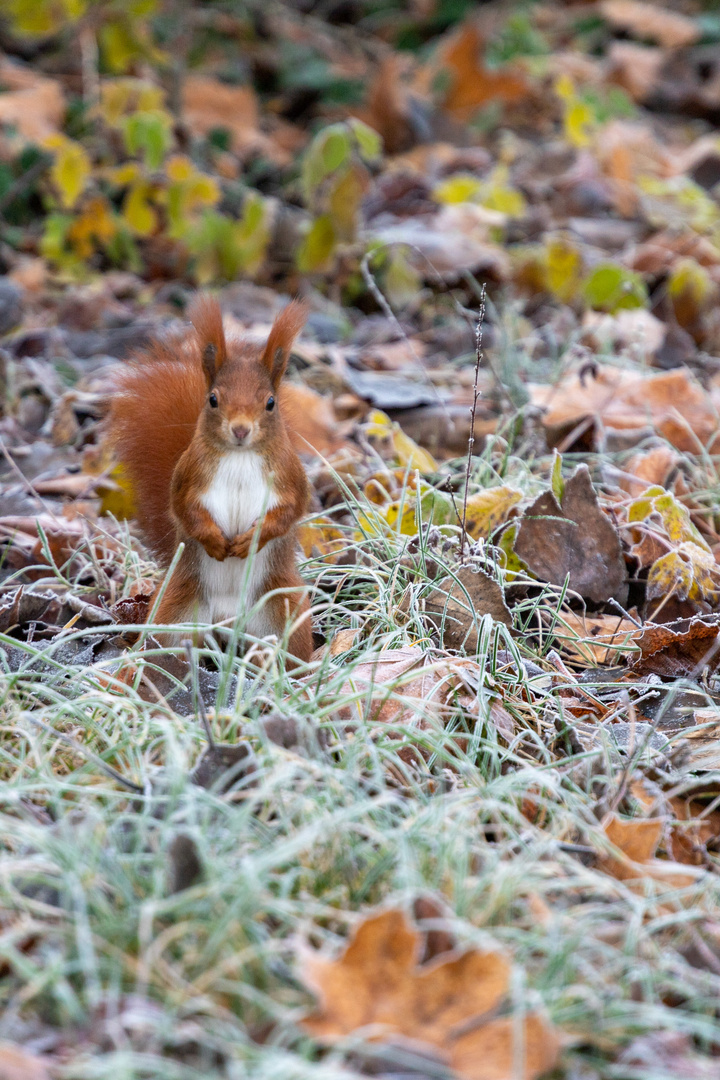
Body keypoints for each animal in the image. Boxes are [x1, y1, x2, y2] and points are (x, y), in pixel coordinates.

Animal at [109, 298, 313, 665]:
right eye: (213, 399)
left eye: (271, 403)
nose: (241, 429)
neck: (239, 456)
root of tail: (227, 622)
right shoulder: (188, 477)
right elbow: (184, 510)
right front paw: (216, 542)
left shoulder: (291, 478)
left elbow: (290, 511)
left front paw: (251, 540)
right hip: (173, 614)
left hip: (285, 612)